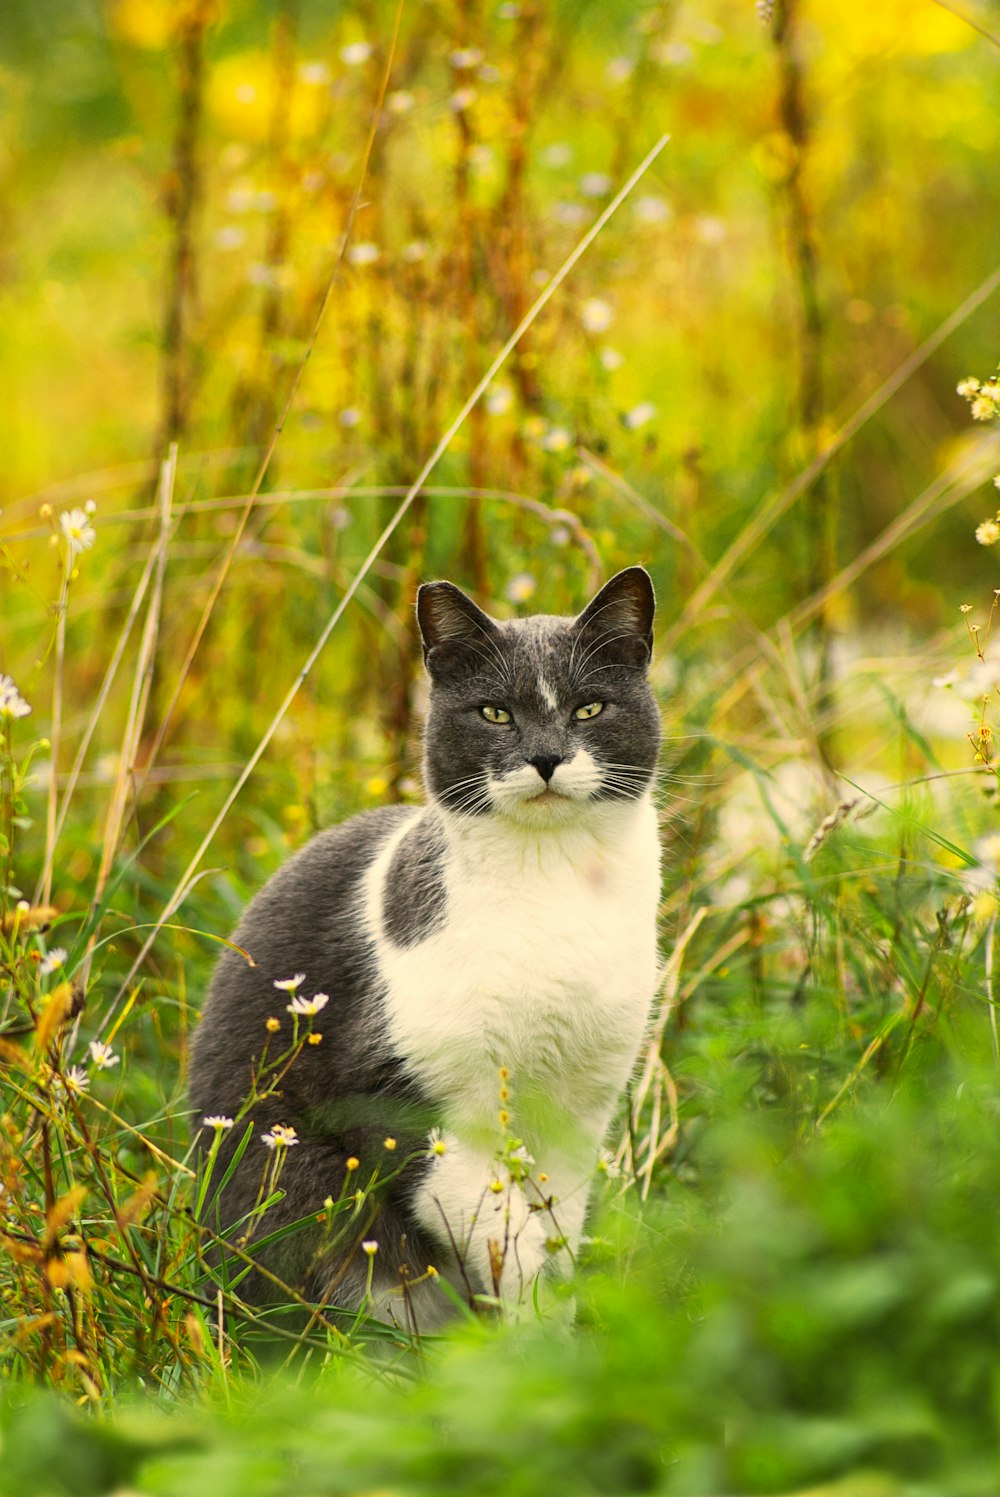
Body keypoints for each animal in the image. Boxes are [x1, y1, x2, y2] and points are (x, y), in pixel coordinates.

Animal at [189, 562, 664, 1335]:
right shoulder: (388, 1101)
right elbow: (506, 1229)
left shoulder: (578, 1112)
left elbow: (554, 1228)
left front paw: (557, 1336)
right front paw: (531, 1338)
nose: (546, 757)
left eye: (589, 709)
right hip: (299, 1197)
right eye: (495, 713)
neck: (551, 881)